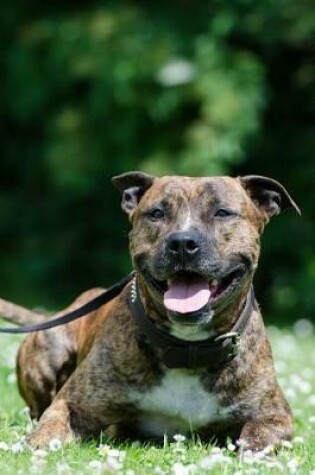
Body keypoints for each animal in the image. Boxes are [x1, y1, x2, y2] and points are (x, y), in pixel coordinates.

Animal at [1, 171, 302, 450]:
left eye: (222, 212)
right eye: (156, 213)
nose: (182, 243)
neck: (187, 349)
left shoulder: (274, 414)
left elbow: (258, 436)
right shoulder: (72, 403)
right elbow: (50, 427)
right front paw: (35, 448)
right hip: (49, 350)